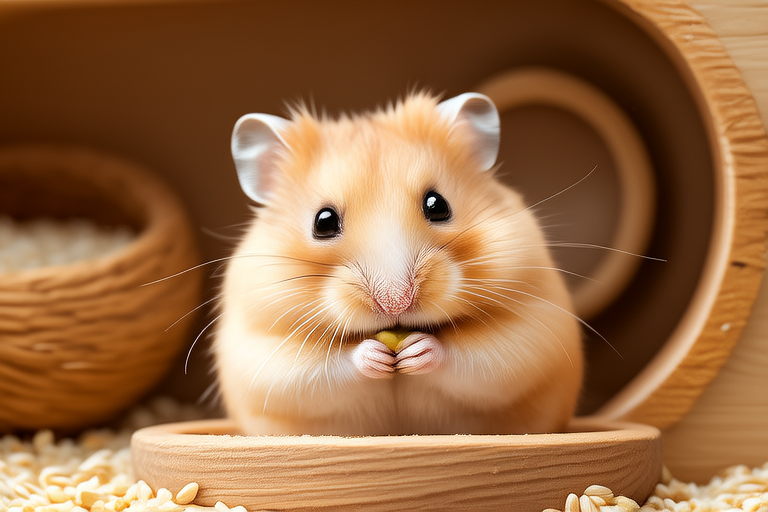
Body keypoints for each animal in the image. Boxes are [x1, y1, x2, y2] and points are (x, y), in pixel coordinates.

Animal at [213, 92, 583, 436]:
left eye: (438, 205)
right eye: (323, 222)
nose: (396, 303)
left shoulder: (529, 330)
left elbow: (477, 359)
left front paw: (417, 351)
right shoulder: (266, 353)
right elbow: (320, 370)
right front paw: (374, 355)